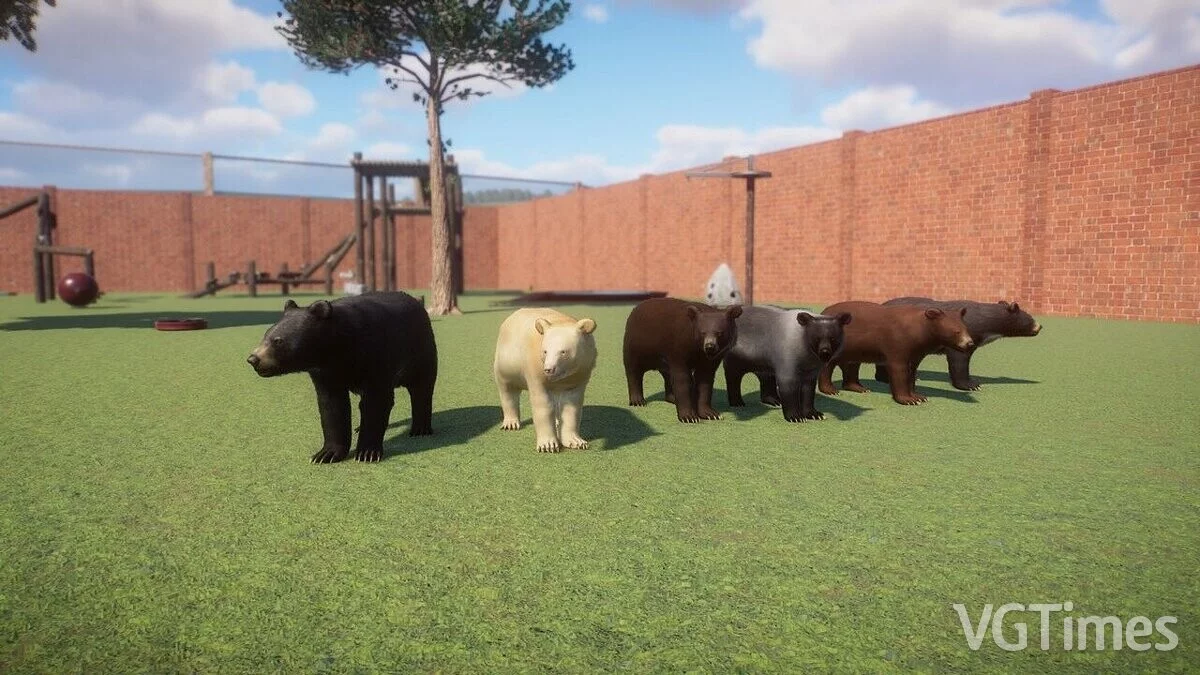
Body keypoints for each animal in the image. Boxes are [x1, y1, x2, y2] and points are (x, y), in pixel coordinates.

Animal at [246, 292, 438, 463]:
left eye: (278, 341)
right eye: (266, 334)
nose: (253, 359)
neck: (339, 349)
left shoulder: (376, 355)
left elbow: (376, 401)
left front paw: (367, 453)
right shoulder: (325, 373)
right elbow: (332, 406)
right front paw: (325, 454)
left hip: (420, 353)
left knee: (422, 389)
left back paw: (420, 428)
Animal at [493, 308, 598, 453]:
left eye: (563, 352)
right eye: (545, 351)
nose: (548, 369)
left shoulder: (580, 374)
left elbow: (572, 405)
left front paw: (577, 442)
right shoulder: (534, 369)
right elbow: (543, 403)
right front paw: (548, 445)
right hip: (505, 362)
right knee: (507, 390)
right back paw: (511, 423)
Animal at [723, 305, 852, 422]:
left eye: (833, 338)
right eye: (817, 338)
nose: (825, 352)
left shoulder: (811, 369)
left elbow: (808, 389)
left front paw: (815, 414)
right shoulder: (788, 356)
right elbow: (788, 385)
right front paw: (796, 417)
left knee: (767, 377)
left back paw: (775, 401)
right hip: (738, 354)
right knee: (733, 376)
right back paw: (737, 402)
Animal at [818, 300, 975, 406]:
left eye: (966, 328)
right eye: (956, 331)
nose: (970, 343)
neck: (917, 330)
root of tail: (823, 311)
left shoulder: (916, 351)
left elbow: (912, 370)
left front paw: (918, 396)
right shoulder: (898, 342)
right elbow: (899, 369)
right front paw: (908, 400)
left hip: (854, 347)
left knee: (852, 364)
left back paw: (859, 388)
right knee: (828, 364)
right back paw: (830, 389)